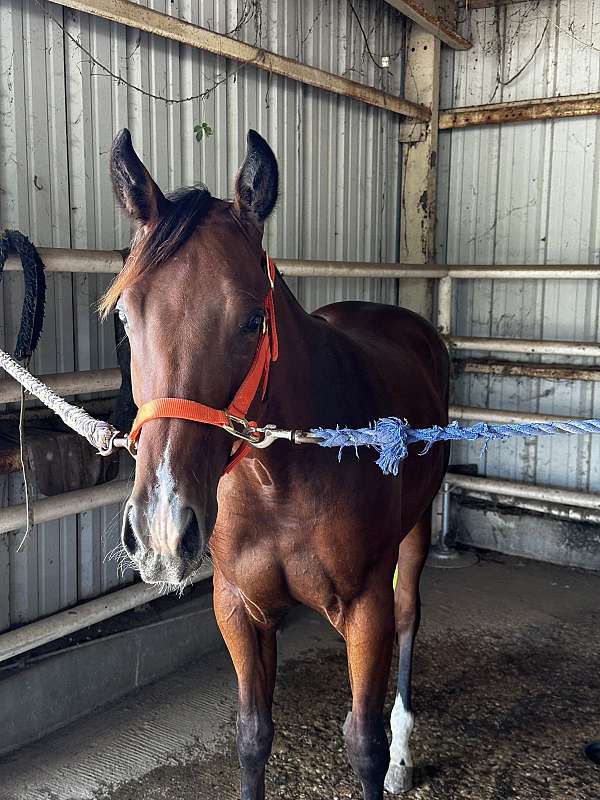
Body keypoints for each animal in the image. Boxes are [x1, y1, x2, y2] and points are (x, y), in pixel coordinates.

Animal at [104, 128, 450, 796]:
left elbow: (362, 745)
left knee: (410, 620)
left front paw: (385, 756)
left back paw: (403, 752)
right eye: (126, 318)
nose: (161, 531)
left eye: (251, 320)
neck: (280, 484)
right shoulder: (239, 608)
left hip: (416, 534)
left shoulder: (365, 609)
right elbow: (253, 737)